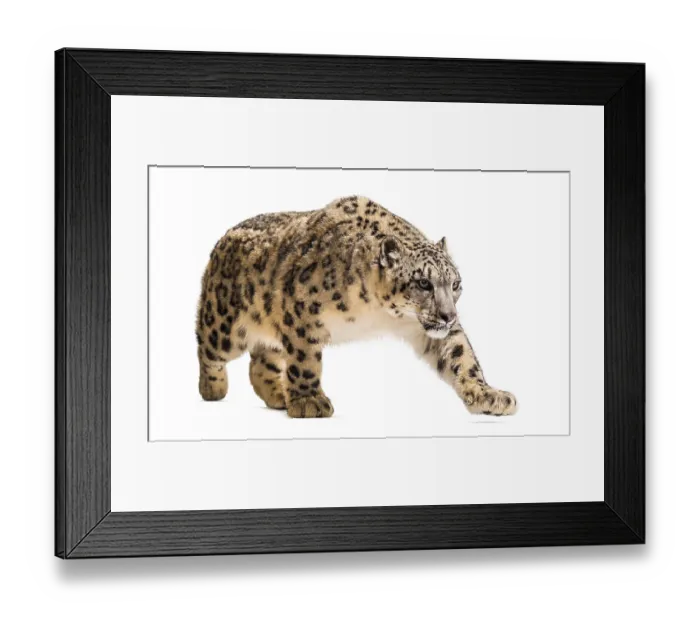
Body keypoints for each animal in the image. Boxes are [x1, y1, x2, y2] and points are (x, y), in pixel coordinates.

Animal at [196, 196, 517, 419]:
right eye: (424, 283)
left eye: (456, 283)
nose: (448, 316)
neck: (380, 314)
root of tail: (220, 242)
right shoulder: (300, 313)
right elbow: (305, 359)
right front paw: (310, 402)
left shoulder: (424, 327)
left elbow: (461, 356)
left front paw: (489, 395)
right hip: (225, 325)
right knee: (207, 347)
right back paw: (213, 388)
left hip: (271, 332)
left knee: (261, 363)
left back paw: (279, 394)